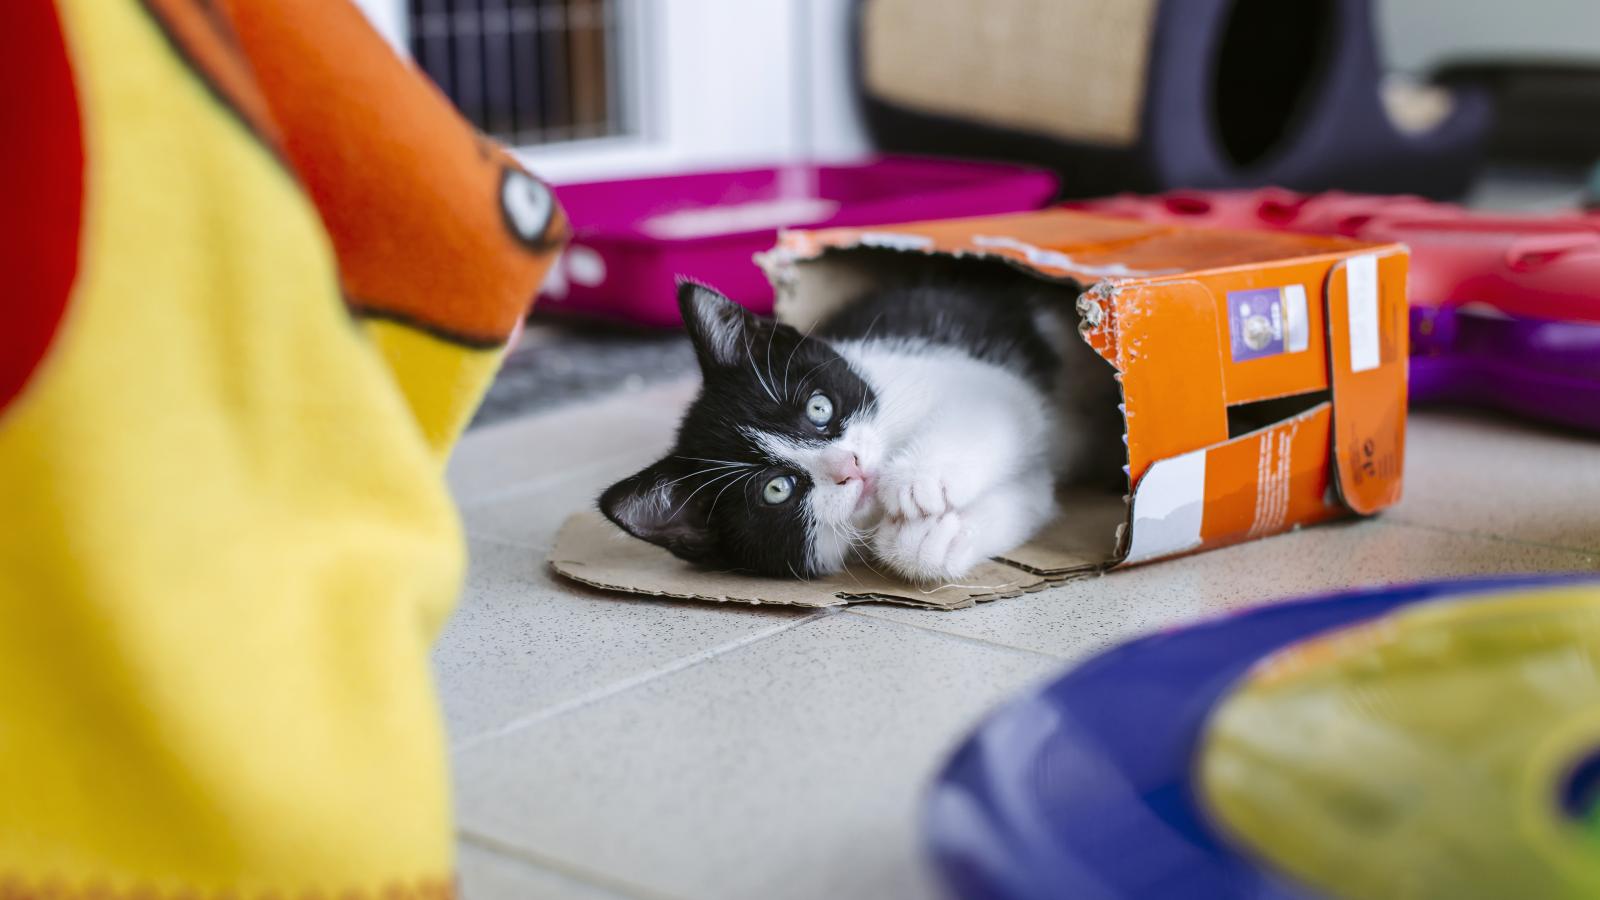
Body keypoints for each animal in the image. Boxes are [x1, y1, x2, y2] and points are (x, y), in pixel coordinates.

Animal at [598, 273, 1113, 582]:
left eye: (819, 408)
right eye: (776, 490)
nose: (851, 466)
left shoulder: (969, 376)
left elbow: (994, 408)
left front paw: (918, 480)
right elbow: (1034, 495)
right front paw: (929, 539)